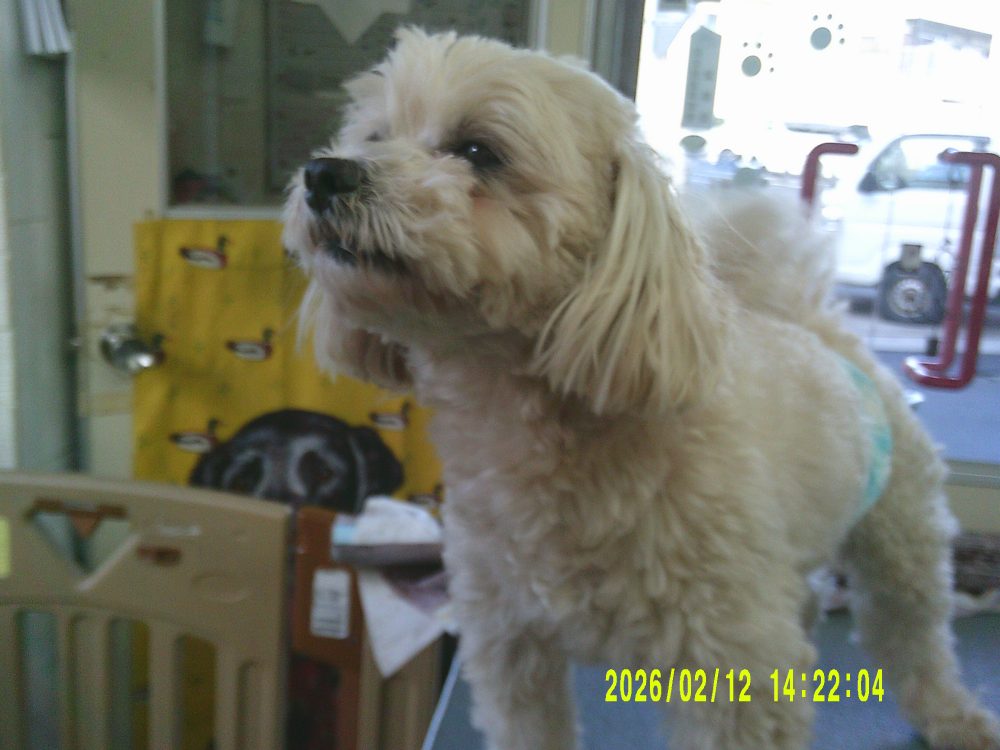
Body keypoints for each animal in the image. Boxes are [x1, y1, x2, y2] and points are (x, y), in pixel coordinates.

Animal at [283, 28, 1000, 750]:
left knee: (913, 632)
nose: (326, 174)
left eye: (479, 151)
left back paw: (953, 716)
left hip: (901, 535)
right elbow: (528, 721)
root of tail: (815, 325)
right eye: (376, 136)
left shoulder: (732, 665)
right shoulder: (510, 639)